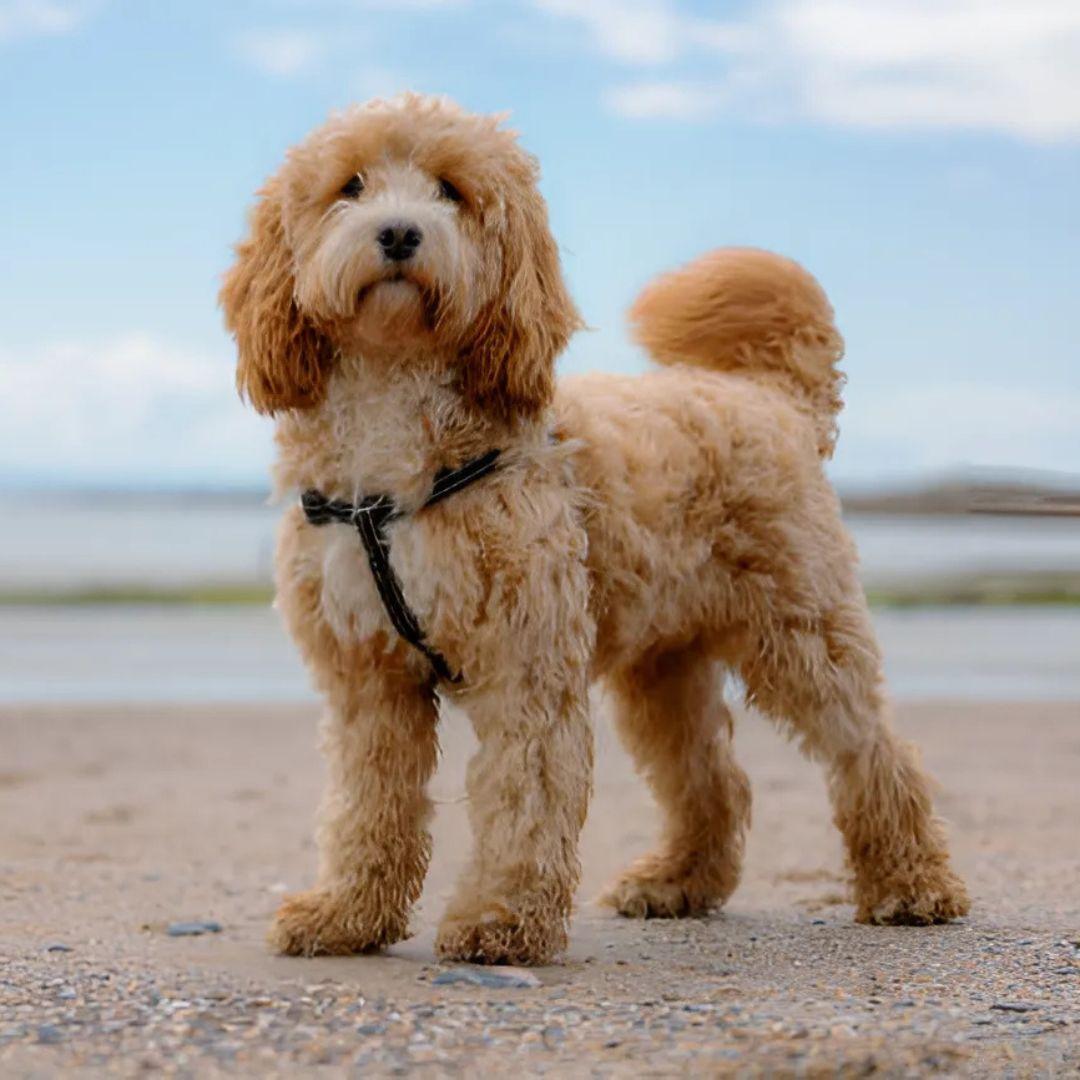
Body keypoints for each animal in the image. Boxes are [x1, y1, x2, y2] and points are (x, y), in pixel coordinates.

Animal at [219, 92, 972, 967]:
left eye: (450, 190)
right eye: (351, 186)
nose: (400, 233)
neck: (396, 410)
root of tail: (770, 396)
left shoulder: (526, 663)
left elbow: (524, 795)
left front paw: (501, 920)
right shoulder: (368, 681)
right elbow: (369, 805)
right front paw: (347, 914)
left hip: (807, 635)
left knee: (872, 753)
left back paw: (913, 884)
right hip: (662, 669)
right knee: (711, 778)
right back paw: (676, 882)